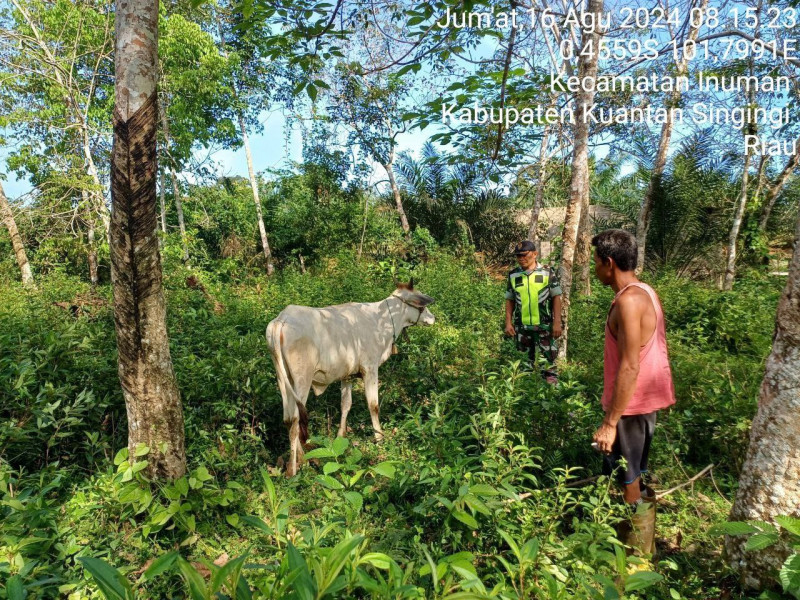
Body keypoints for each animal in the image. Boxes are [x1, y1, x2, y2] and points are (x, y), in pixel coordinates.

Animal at [266, 280, 434, 474]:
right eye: (421, 302)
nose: (432, 318)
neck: (381, 319)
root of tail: (282, 319)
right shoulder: (370, 368)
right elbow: (373, 406)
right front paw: (379, 439)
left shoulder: (347, 376)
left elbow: (346, 404)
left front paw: (341, 437)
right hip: (302, 380)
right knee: (295, 420)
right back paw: (294, 468)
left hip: (282, 379)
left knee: (287, 418)